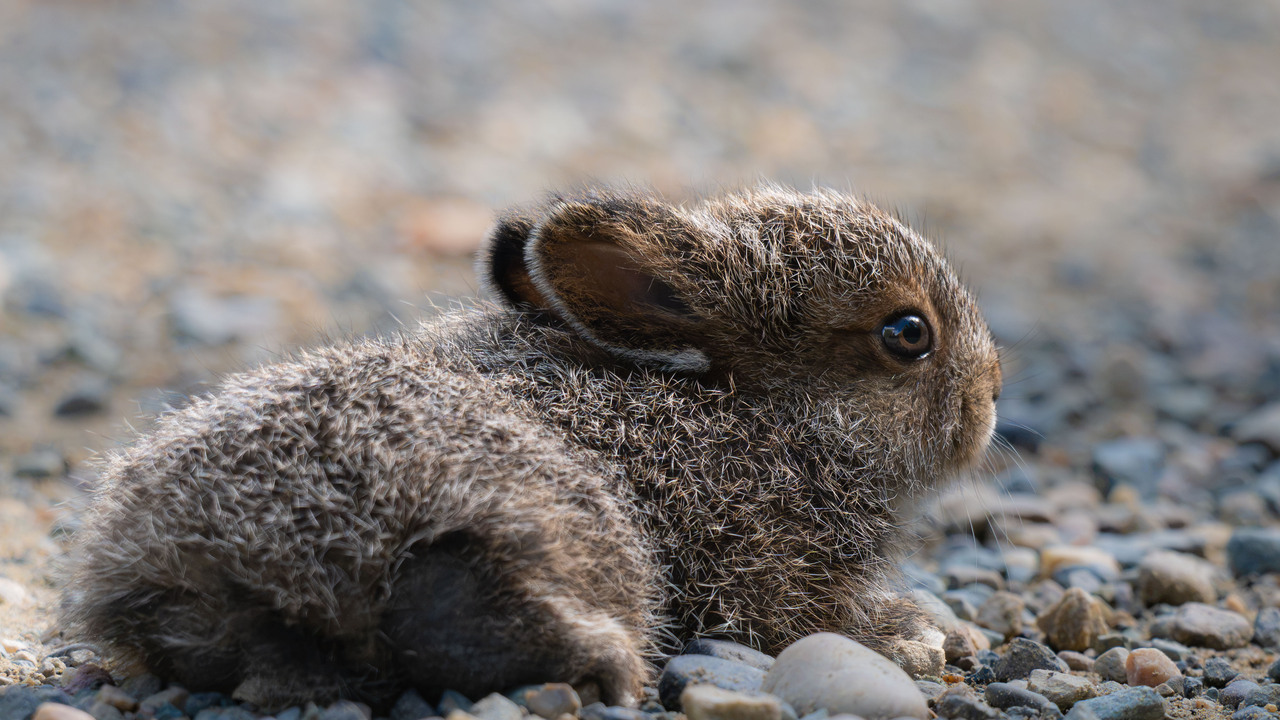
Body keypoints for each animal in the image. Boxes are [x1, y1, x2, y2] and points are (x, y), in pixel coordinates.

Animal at [60, 184, 1003, 711]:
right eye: (908, 333)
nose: (994, 394)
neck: (773, 413)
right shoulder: (760, 562)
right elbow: (807, 620)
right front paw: (921, 636)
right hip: (549, 515)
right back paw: (602, 667)